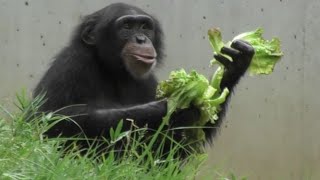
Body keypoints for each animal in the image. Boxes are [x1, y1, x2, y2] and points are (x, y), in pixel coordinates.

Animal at [33, 3, 254, 150]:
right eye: (127, 27)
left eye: (145, 27)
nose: (141, 39)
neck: (114, 70)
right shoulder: (71, 64)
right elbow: (45, 119)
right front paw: (166, 106)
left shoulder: (149, 81)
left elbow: (188, 134)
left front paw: (234, 65)